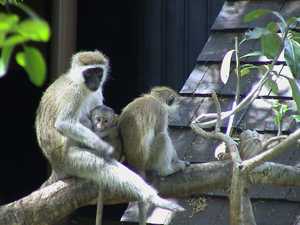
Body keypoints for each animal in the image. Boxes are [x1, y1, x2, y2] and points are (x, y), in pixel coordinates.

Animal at [117, 85, 190, 223]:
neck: (154, 98)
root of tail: (136, 164)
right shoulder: (161, 112)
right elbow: (160, 132)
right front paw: (178, 160)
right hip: (150, 159)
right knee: (163, 138)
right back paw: (166, 170)